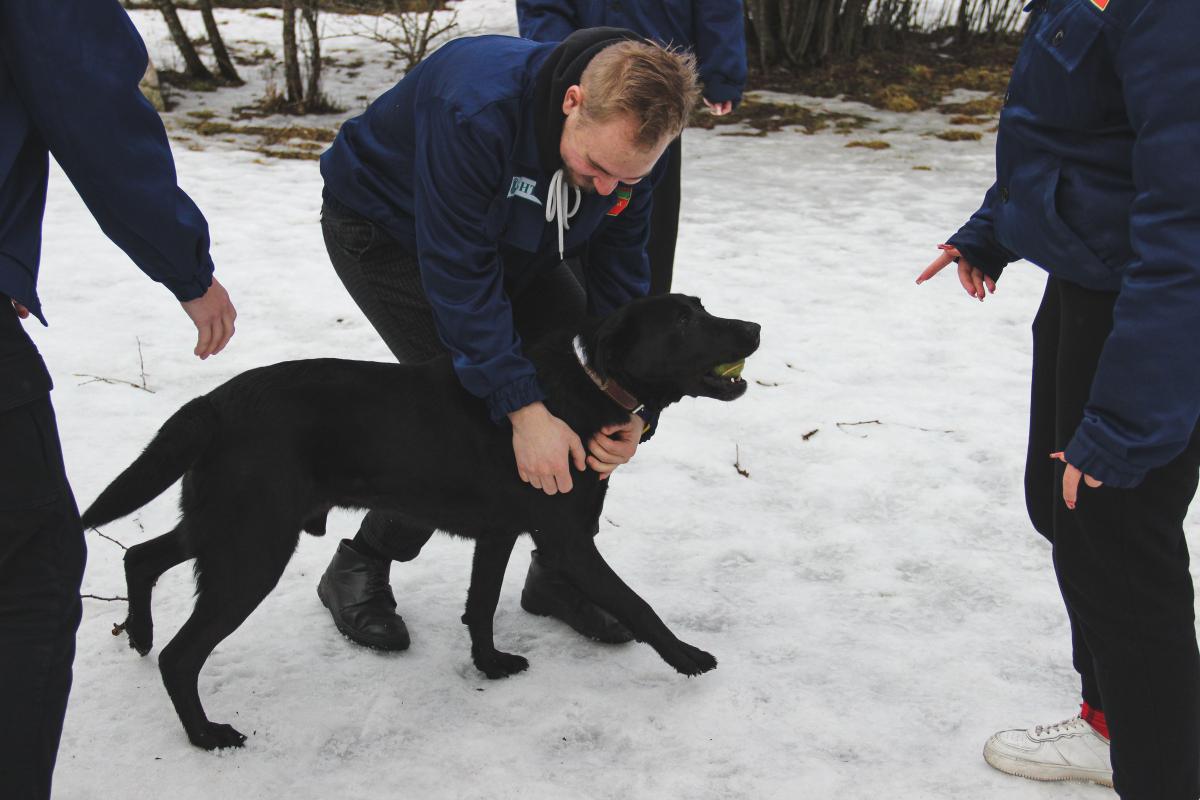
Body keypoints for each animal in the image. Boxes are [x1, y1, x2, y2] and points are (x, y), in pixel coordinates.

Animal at [82, 293, 758, 753]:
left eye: (701, 309)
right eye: (682, 320)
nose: (754, 327)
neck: (584, 382)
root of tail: (215, 401)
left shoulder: (500, 534)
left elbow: (481, 605)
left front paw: (489, 665)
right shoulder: (566, 540)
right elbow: (638, 603)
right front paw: (688, 657)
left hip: (227, 528)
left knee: (140, 557)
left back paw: (138, 634)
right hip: (252, 548)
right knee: (181, 655)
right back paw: (205, 734)